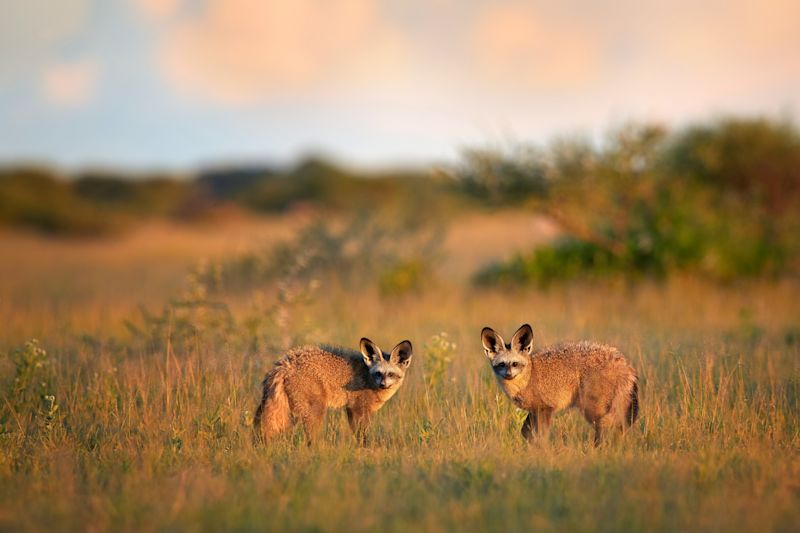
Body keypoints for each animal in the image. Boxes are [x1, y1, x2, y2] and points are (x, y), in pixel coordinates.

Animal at [253, 336, 412, 444]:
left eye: (390, 374)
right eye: (378, 373)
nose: (383, 385)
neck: (367, 376)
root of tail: (285, 363)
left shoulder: (351, 409)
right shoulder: (357, 408)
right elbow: (362, 435)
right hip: (315, 411)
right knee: (311, 439)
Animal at [482, 324, 636, 444]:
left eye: (515, 364)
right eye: (502, 364)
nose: (508, 375)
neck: (529, 376)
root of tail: (621, 360)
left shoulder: (545, 409)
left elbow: (540, 437)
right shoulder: (534, 411)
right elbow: (525, 433)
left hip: (592, 409)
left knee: (607, 429)